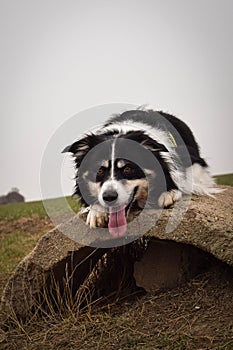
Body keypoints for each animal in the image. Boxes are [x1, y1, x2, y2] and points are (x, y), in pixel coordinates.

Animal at [63, 108, 220, 238]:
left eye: (127, 169)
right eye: (99, 171)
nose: (109, 197)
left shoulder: (194, 162)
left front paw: (168, 193)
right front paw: (96, 211)